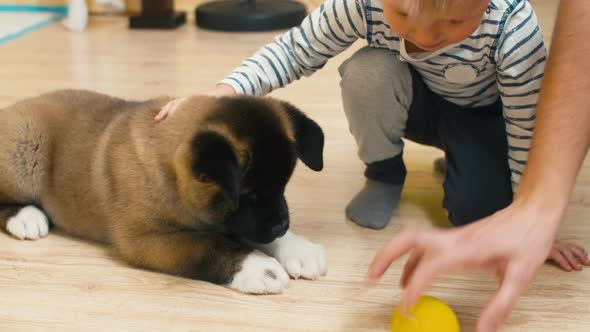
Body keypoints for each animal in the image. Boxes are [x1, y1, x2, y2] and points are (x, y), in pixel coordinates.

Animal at [0, 89, 328, 294]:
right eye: (251, 195)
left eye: (281, 187)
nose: (281, 225)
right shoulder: (146, 240)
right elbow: (209, 246)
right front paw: (257, 267)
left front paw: (296, 249)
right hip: (25, 149)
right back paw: (26, 217)